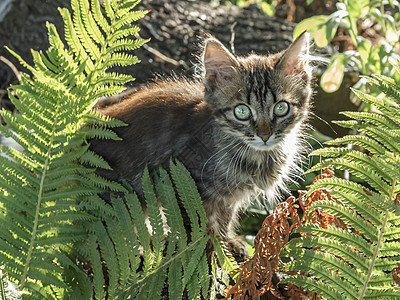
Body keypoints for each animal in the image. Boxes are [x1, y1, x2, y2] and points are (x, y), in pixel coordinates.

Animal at [90, 32, 316, 258]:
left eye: (281, 108)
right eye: (242, 111)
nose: (264, 135)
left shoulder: (228, 199)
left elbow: (224, 221)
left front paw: (228, 244)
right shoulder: (182, 184)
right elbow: (198, 229)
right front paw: (209, 257)